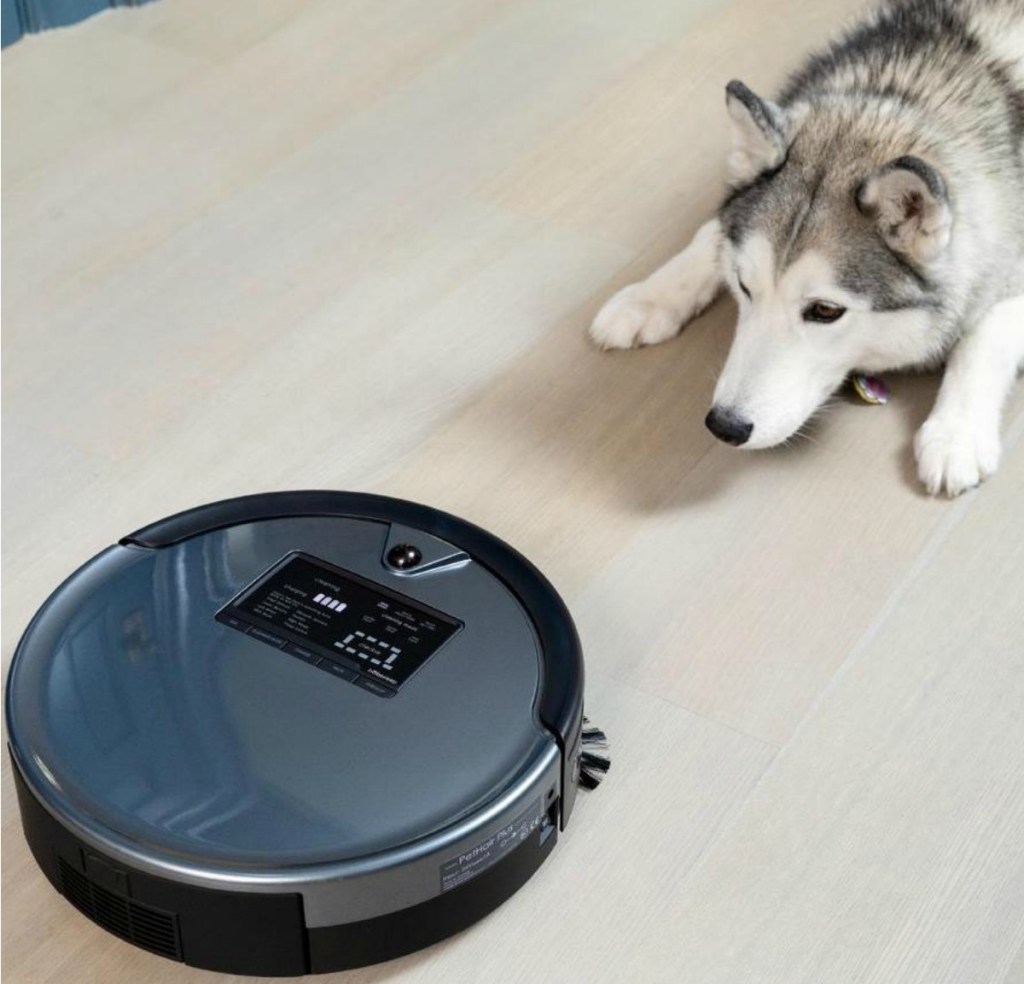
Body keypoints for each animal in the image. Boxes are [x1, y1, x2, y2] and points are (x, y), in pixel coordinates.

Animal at [589, 0, 1024, 491]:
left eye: (825, 311)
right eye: (743, 286)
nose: (725, 425)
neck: (905, 95)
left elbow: (988, 334)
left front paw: (956, 433)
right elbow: (711, 232)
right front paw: (649, 297)